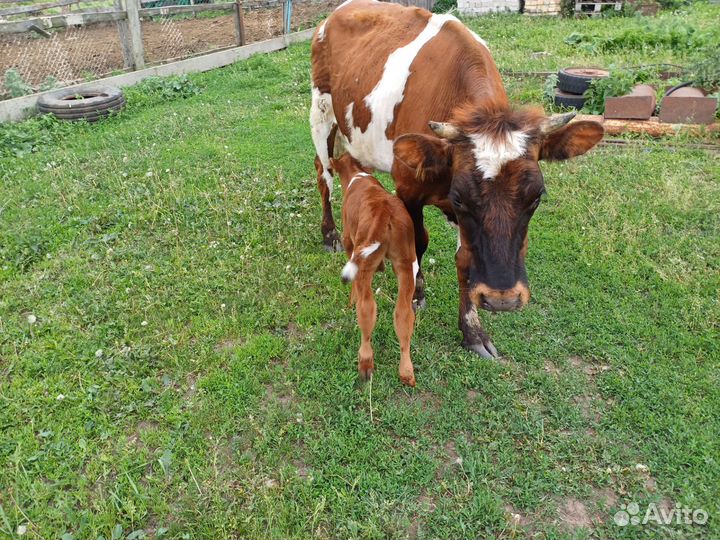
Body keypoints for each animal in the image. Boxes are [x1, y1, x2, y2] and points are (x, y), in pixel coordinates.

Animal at [310, 0, 604, 358]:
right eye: (460, 197)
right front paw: (416, 294)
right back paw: (330, 234)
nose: (502, 299)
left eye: (537, 197)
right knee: (324, 174)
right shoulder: (408, 189)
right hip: (321, 113)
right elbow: (418, 243)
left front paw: (472, 330)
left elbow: (465, 260)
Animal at [332, 153, 418, 386]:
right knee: (403, 314)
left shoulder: (348, 241)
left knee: (366, 310)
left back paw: (365, 364)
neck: (357, 174)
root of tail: (384, 210)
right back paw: (407, 372)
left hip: (363, 264)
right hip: (406, 264)